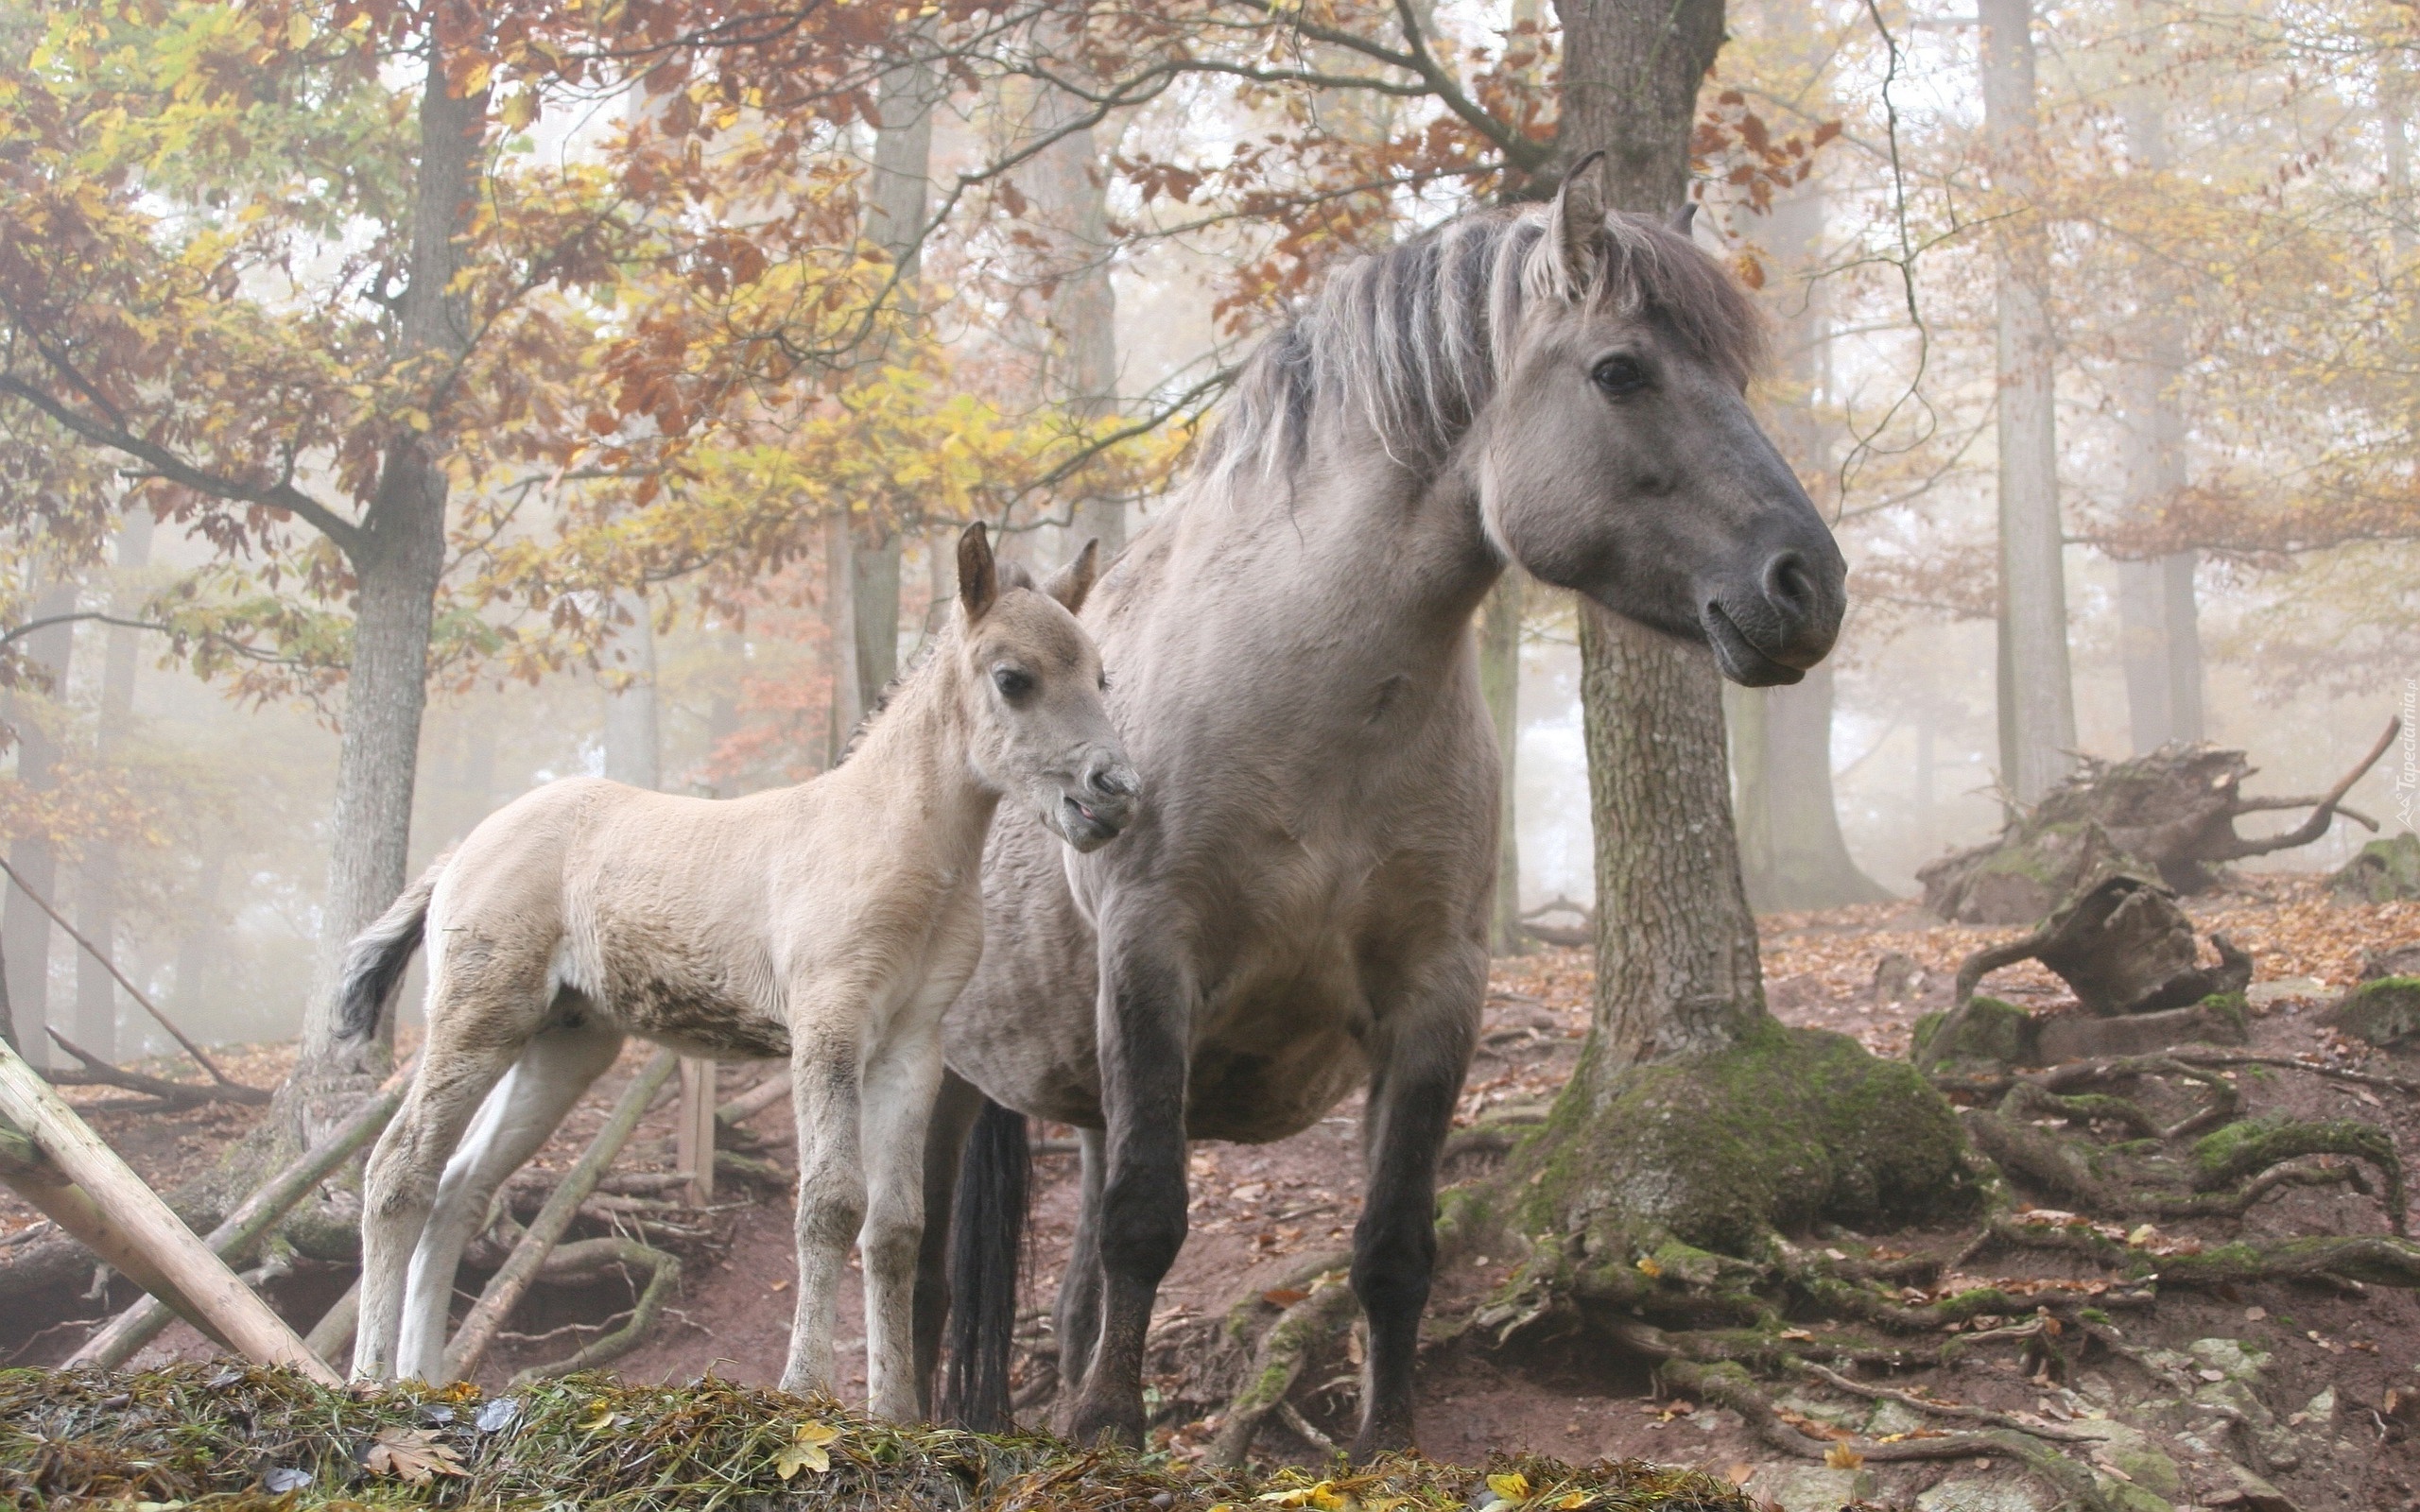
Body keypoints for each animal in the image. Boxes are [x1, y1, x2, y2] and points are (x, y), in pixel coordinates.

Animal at [343, 522, 1132, 1413]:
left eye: (1099, 676)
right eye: (1013, 679)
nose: (1113, 791)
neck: (889, 842)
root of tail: (462, 852)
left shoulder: (910, 1047)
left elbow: (895, 1225)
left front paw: (895, 1413)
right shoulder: (828, 1028)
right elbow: (829, 1203)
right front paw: (804, 1390)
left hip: (563, 1044)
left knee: (460, 1190)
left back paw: (426, 1382)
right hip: (478, 1019)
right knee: (398, 1170)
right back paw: (369, 1379)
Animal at [914, 170, 1839, 1461]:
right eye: (1620, 372)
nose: (1808, 587)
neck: (1310, 712)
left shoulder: (1435, 991)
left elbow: (1393, 1241)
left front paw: (1383, 1438)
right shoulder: (1152, 958)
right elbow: (1149, 1215)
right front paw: (1107, 1424)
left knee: (1071, 1275)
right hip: (938, 1081)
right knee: (918, 1273)